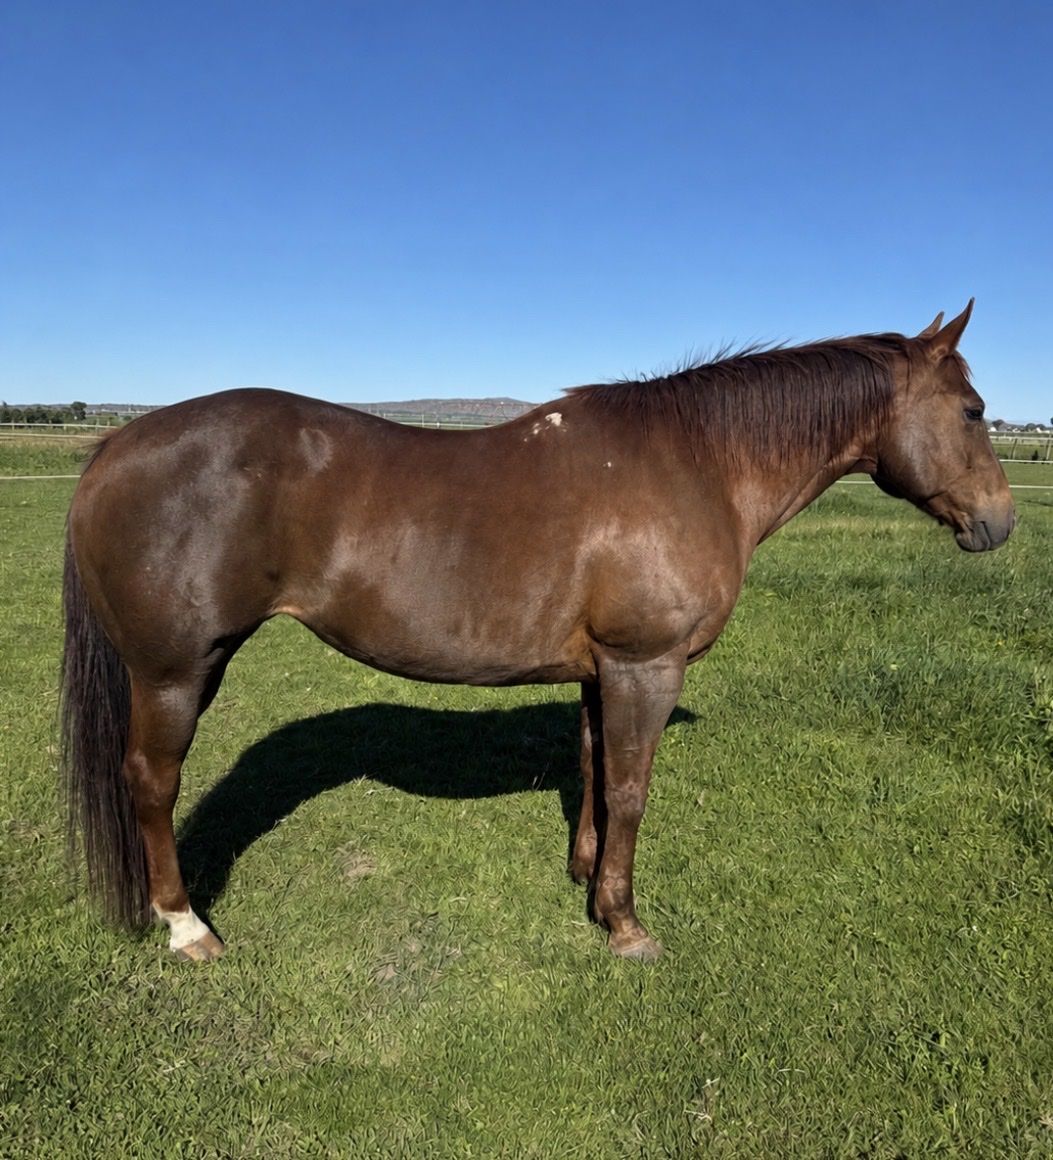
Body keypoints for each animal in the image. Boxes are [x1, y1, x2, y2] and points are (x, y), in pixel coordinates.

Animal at [60, 302, 1013, 962]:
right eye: (972, 411)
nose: (1000, 522)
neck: (698, 463)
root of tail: (114, 447)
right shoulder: (646, 666)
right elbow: (630, 789)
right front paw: (625, 925)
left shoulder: (601, 670)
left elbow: (592, 771)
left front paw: (586, 882)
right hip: (177, 671)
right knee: (150, 782)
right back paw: (187, 926)